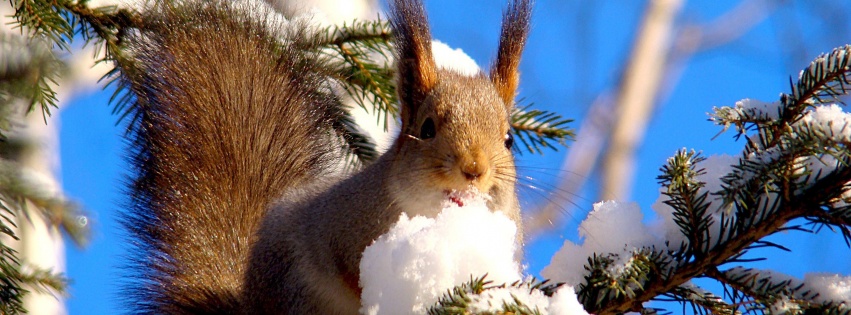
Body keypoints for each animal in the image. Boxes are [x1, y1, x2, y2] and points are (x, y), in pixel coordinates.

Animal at [120, 0, 532, 314]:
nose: (474, 170)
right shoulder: (339, 227)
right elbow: (348, 272)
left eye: (508, 139)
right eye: (427, 128)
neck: (435, 216)